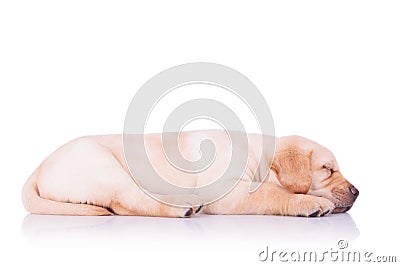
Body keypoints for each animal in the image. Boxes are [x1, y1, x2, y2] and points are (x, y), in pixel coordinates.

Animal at [21, 132, 360, 218]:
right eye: (327, 169)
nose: (357, 192)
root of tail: (38, 166)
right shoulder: (228, 195)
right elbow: (273, 193)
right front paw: (307, 203)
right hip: (103, 165)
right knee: (127, 201)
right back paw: (183, 206)